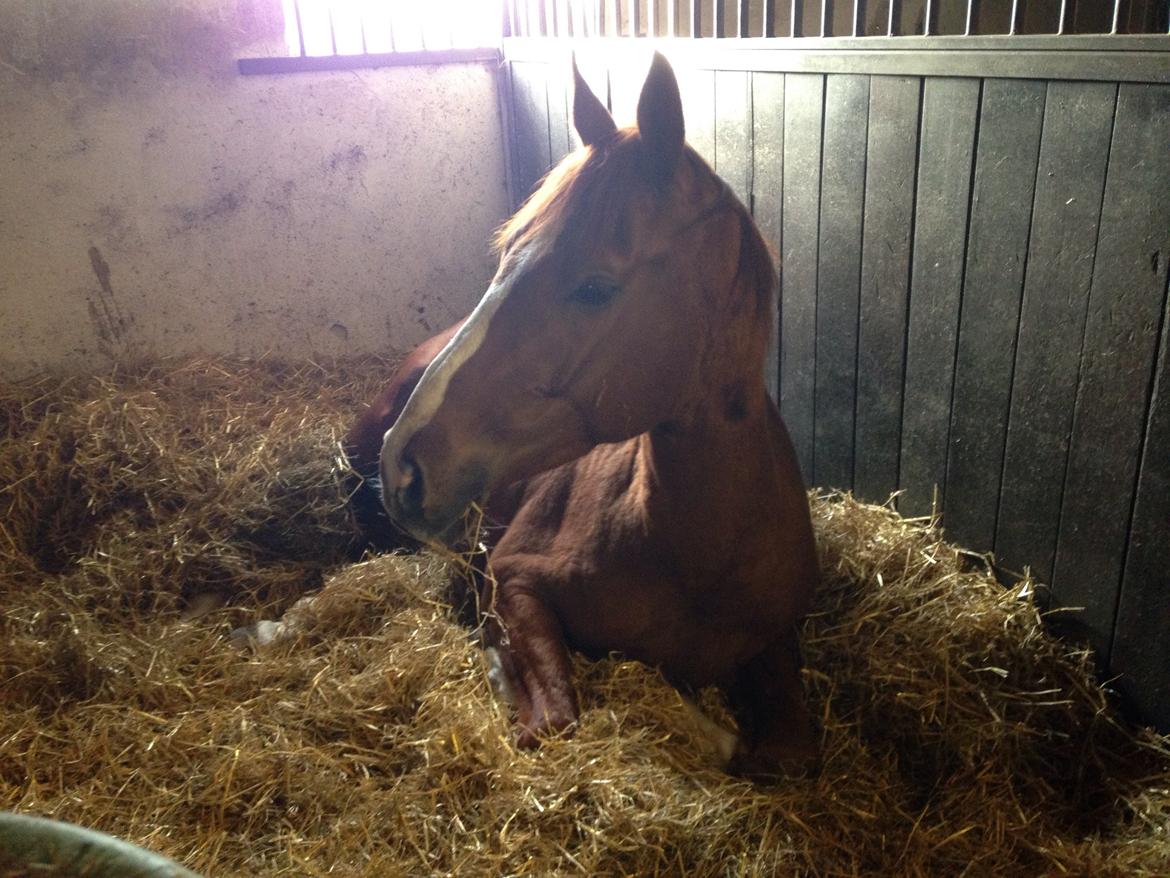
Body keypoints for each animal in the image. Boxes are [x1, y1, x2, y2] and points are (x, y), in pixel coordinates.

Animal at [351, 53, 819, 777]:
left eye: (595, 288)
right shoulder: (514, 580)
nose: (404, 465)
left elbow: (784, 751)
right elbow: (556, 718)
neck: (691, 555)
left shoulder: (777, 643)